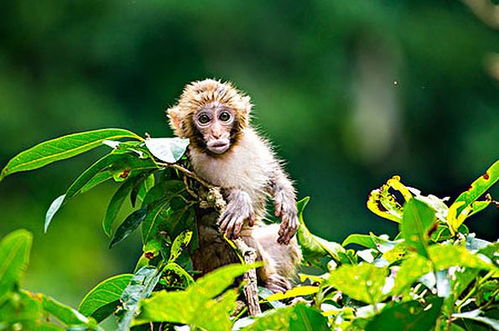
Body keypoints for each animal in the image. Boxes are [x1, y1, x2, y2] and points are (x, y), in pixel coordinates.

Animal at [167, 78, 300, 294]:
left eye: (224, 116)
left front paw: (286, 199)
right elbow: (205, 196)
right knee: (240, 242)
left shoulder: (252, 142)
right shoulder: (189, 161)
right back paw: (266, 282)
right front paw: (239, 200)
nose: (216, 134)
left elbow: (271, 173)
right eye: (204, 119)